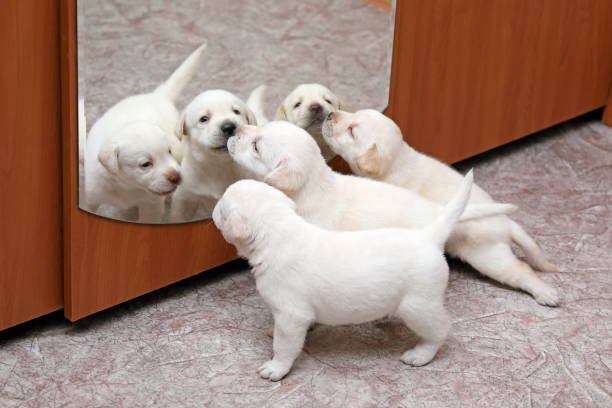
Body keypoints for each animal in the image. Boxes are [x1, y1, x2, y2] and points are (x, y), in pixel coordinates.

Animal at [83, 43, 206, 223]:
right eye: (145, 164)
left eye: (168, 152)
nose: (176, 176)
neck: (127, 186)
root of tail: (157, 96)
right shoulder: (91, 196)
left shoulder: (151, 204)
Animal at [170, 90, 258, 223]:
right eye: (204, 119)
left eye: (236, 111)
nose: (229, 127)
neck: (219, 165)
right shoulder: (186, 195)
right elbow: (178, 217)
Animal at [215, 171, 478, 380]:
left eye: (222, 205)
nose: (213, 208)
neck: (277, 233)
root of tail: (427, 236)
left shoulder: (291, 316)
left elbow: (284, 345)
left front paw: (276, 368)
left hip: (418, 306)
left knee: (440, 329)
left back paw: (421, 354)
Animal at [322, 109, 560, 306]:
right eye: (353, 113)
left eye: (352, 131)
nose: (330, 114)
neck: (398, 163)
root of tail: (506, 223)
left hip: (489, 256)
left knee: (521, 270)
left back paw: (546, 294)